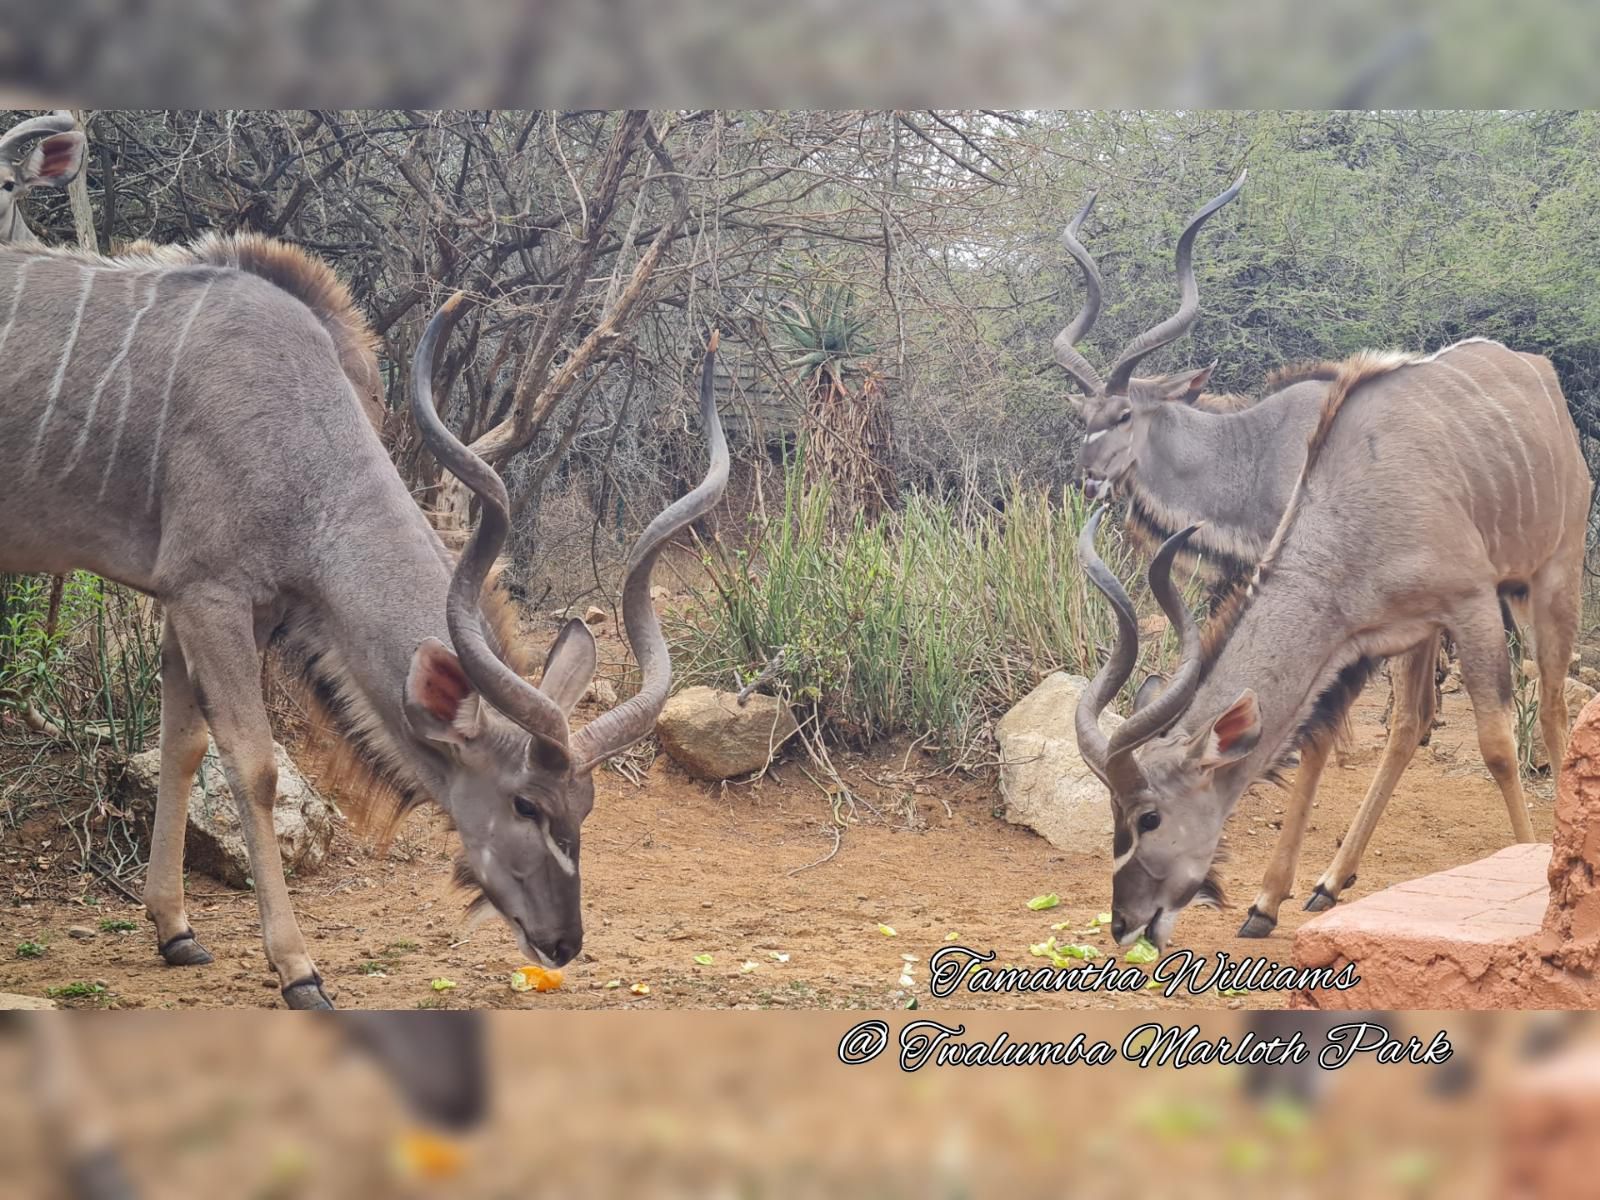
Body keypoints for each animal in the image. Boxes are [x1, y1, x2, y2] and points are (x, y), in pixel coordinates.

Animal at [0, 232, 726, 1004]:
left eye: (584, 806)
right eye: (525, 805)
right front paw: (297, 969)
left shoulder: (200, 603)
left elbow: (184, 744)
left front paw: (175, 931)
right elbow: (254, 766)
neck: (306, 446)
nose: (562, 942)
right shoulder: (209, 593)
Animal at [1049, 176, 1465, 940]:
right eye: (1082, 418)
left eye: (1124, 416)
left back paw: (1328, 882)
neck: (1252, 450)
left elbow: (1314, 733)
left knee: (1412, 718)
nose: (1090, 480)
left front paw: (1266, 897)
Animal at [1075, 320, 1587, 947]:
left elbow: (1496, 746)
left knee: (1553, 706)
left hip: (1550, 576)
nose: (1124, 921)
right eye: (1114, 813)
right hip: (1423, 636)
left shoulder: (1473, 605)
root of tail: (1537, 371)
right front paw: (1266, 903)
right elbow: (1319, 741)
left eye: (1150, 817)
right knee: (1409, 724)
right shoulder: (1357, 641)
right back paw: (1330, 881)